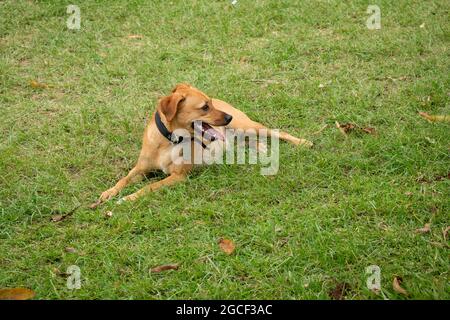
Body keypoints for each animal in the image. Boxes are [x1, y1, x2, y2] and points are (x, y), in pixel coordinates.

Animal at [89, 84, 312, 208]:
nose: (227, 117)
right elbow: (124, 179)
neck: (168, 141)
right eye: (205, 107)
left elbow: (150, 187)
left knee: (277, 133)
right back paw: (260, 148)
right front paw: (110, 192)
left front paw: (129, 198)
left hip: (247, 126)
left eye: (210, 104)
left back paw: (302, 142)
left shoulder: (177, 177)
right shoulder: (140, 169)